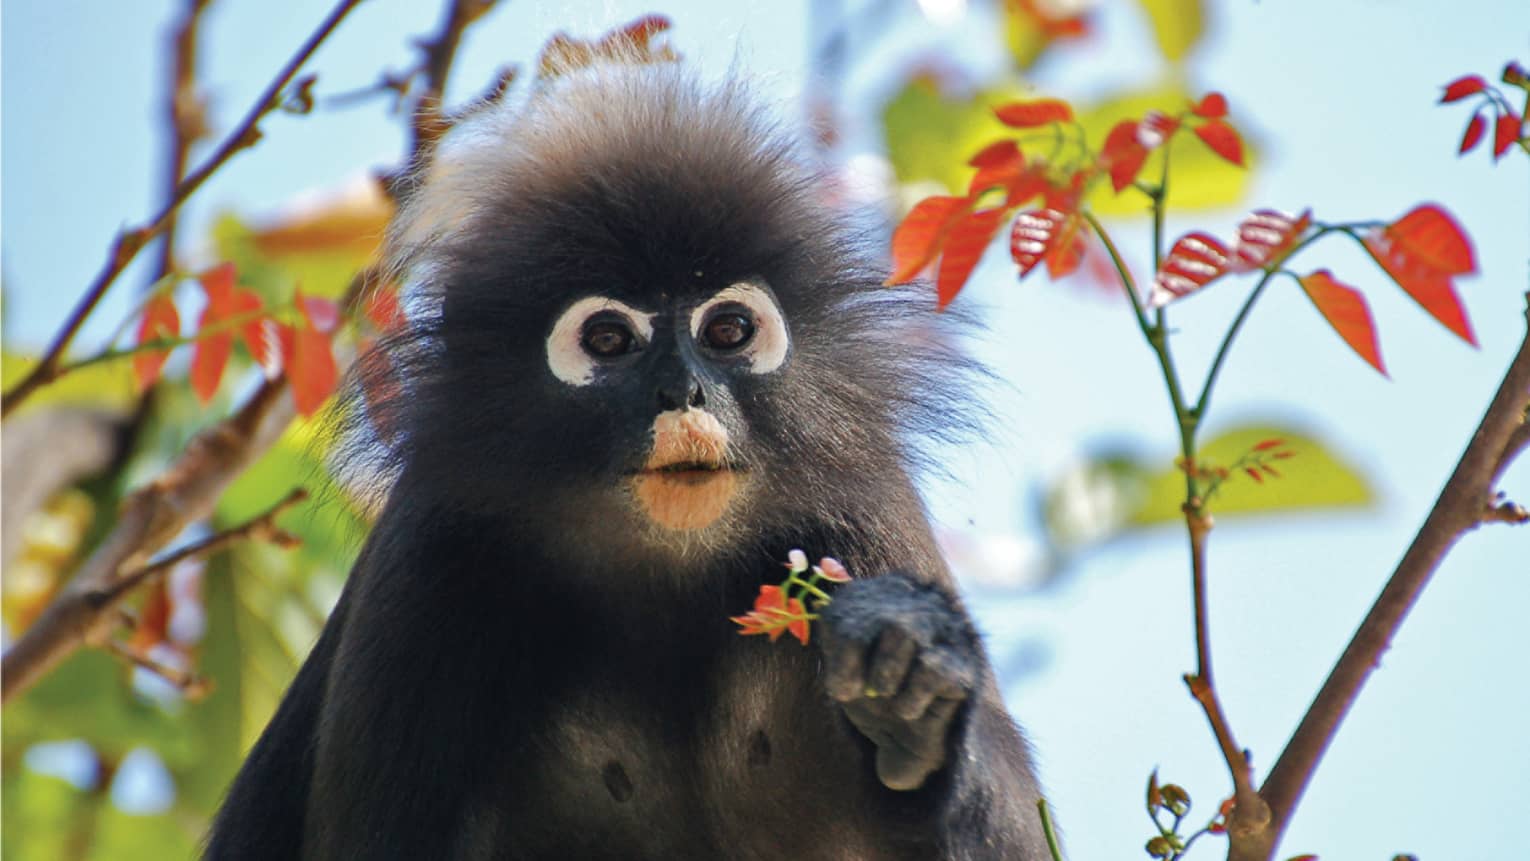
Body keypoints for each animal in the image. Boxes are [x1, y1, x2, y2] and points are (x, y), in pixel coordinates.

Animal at [203, 55, 1058, 861]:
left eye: (728, 331)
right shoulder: (429, 557)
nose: (682, 391)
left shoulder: (866, 508)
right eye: (609, 340)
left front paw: (915, 686)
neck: (664, 563)